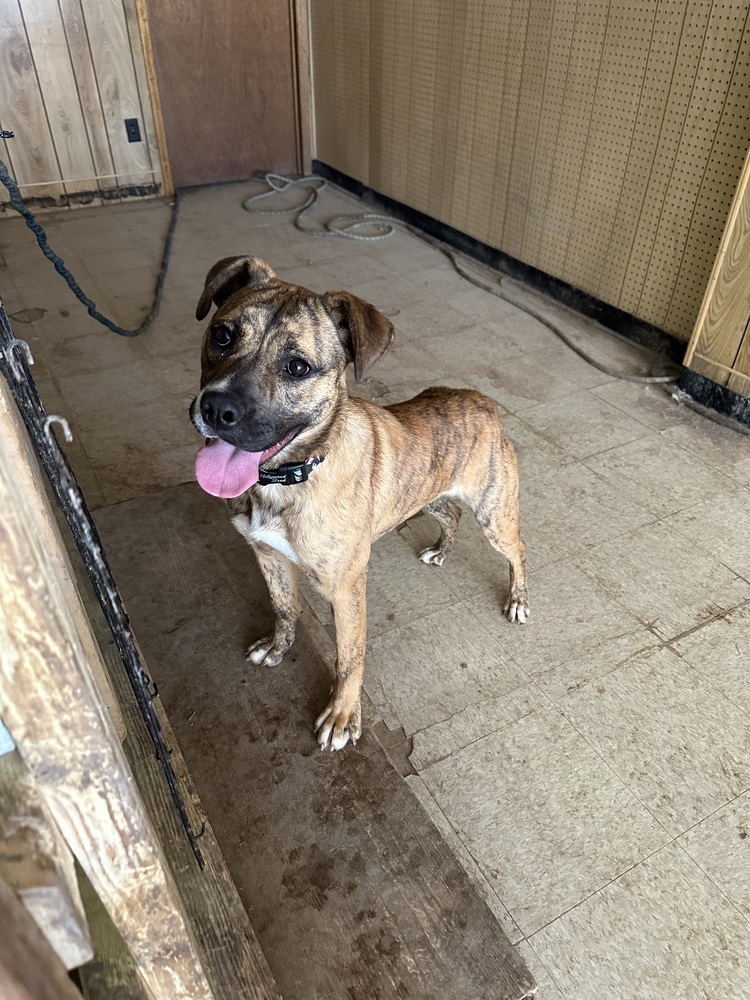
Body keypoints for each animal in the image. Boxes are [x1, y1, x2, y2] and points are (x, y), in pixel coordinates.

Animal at [191, 258, 532, 752]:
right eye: (221, 334)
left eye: (297, 366)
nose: (217, 410)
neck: (290, 477)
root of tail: (482, 400)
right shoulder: (267, 555)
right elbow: (284, 608)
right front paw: (278, 647)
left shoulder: (347, 587)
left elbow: (349, 656)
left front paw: (342, 717)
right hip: (425, 499)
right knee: (450, 514)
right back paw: (440, 551)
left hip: (495, 514)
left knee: (518, 550)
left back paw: (518, 599)